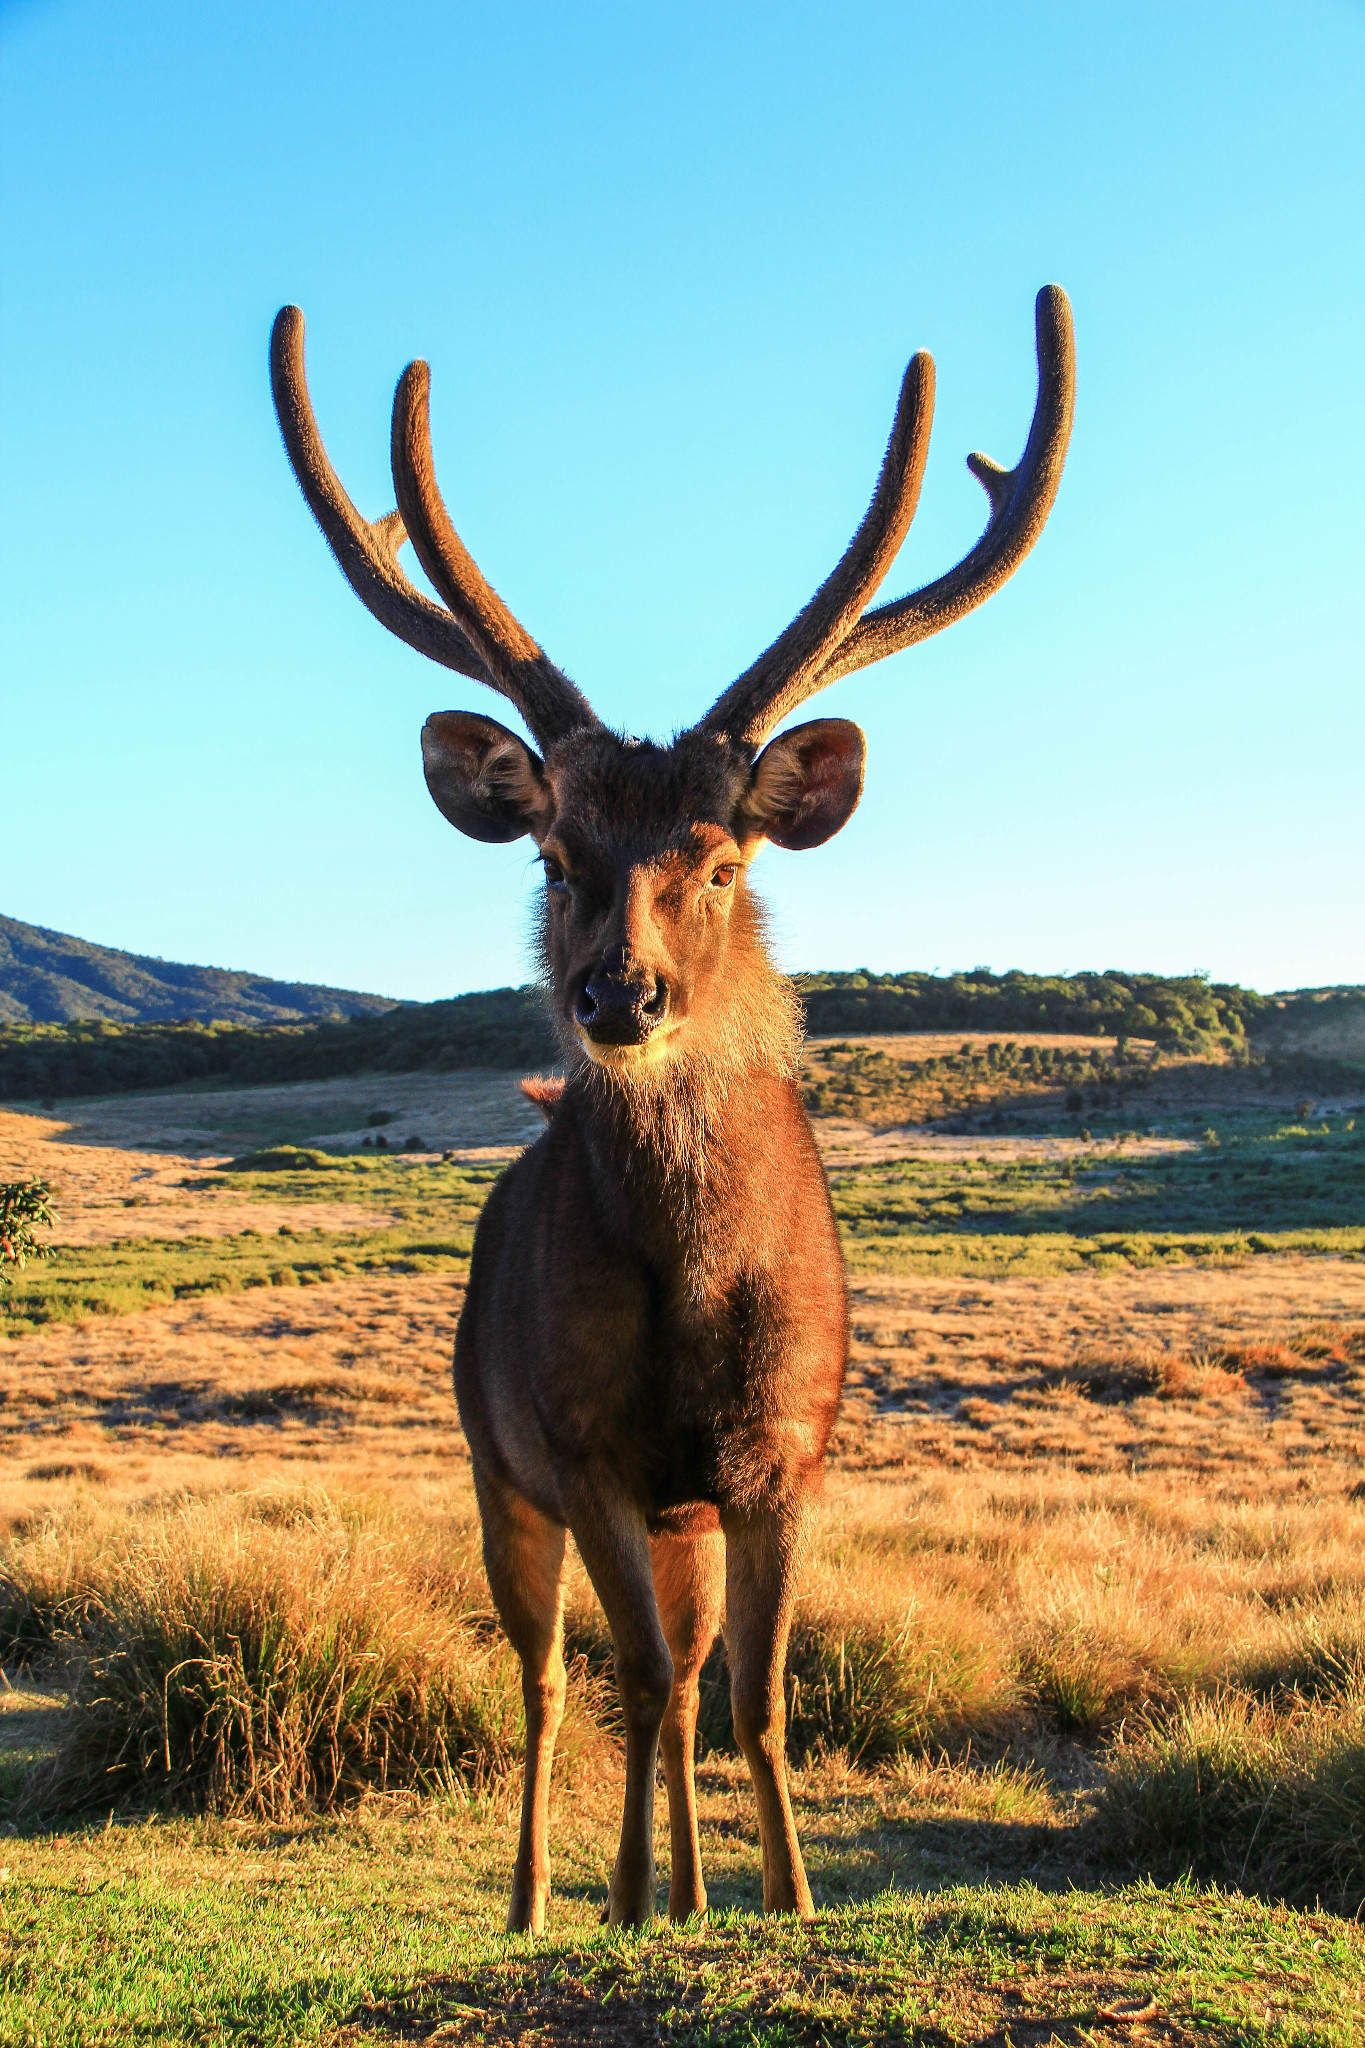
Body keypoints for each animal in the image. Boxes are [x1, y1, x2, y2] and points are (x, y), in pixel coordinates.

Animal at [270, 280, 1080, 1925]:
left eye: (718, 860)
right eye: (554, 857)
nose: (617, 998)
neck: (702, 1280)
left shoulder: (783, 1451)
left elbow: (754, 1694)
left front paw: (783, 1899)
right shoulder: (579, 1447)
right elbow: (632, 1679)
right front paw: (632, 1904)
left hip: (681, 1510)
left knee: (693, 1674)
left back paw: (700, 1895)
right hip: (493, 1460)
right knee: (551, 1683)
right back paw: (546, 1899)